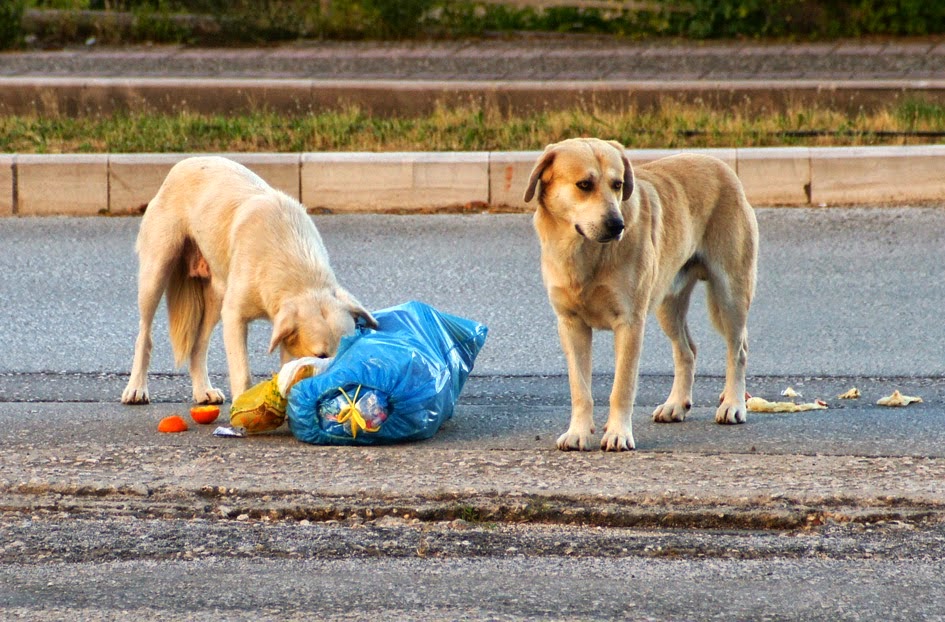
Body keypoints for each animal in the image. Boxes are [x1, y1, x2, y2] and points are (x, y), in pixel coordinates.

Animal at [121, 157, 376, 404]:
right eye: (320, 356)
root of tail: (181, 164)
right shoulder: (235, 316)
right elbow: (243, 373)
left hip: (216, 298)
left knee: (197, 346)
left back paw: (203, 390)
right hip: (156, 273)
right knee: (144, 336)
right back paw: (136, 388)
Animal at [524, 139, 760, 454]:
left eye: (618, 184)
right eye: (584, 184)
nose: (617, 225)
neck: (584, 252)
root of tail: (720, 165)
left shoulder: (630, 324)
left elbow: (622, 387)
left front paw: (618, 433)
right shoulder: (571, 325)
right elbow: (580, 389)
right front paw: (578, 432)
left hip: (730, 293)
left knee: (738, 348)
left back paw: (733, 404)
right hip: (667, 304)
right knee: (687, 350)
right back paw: (676, 404)